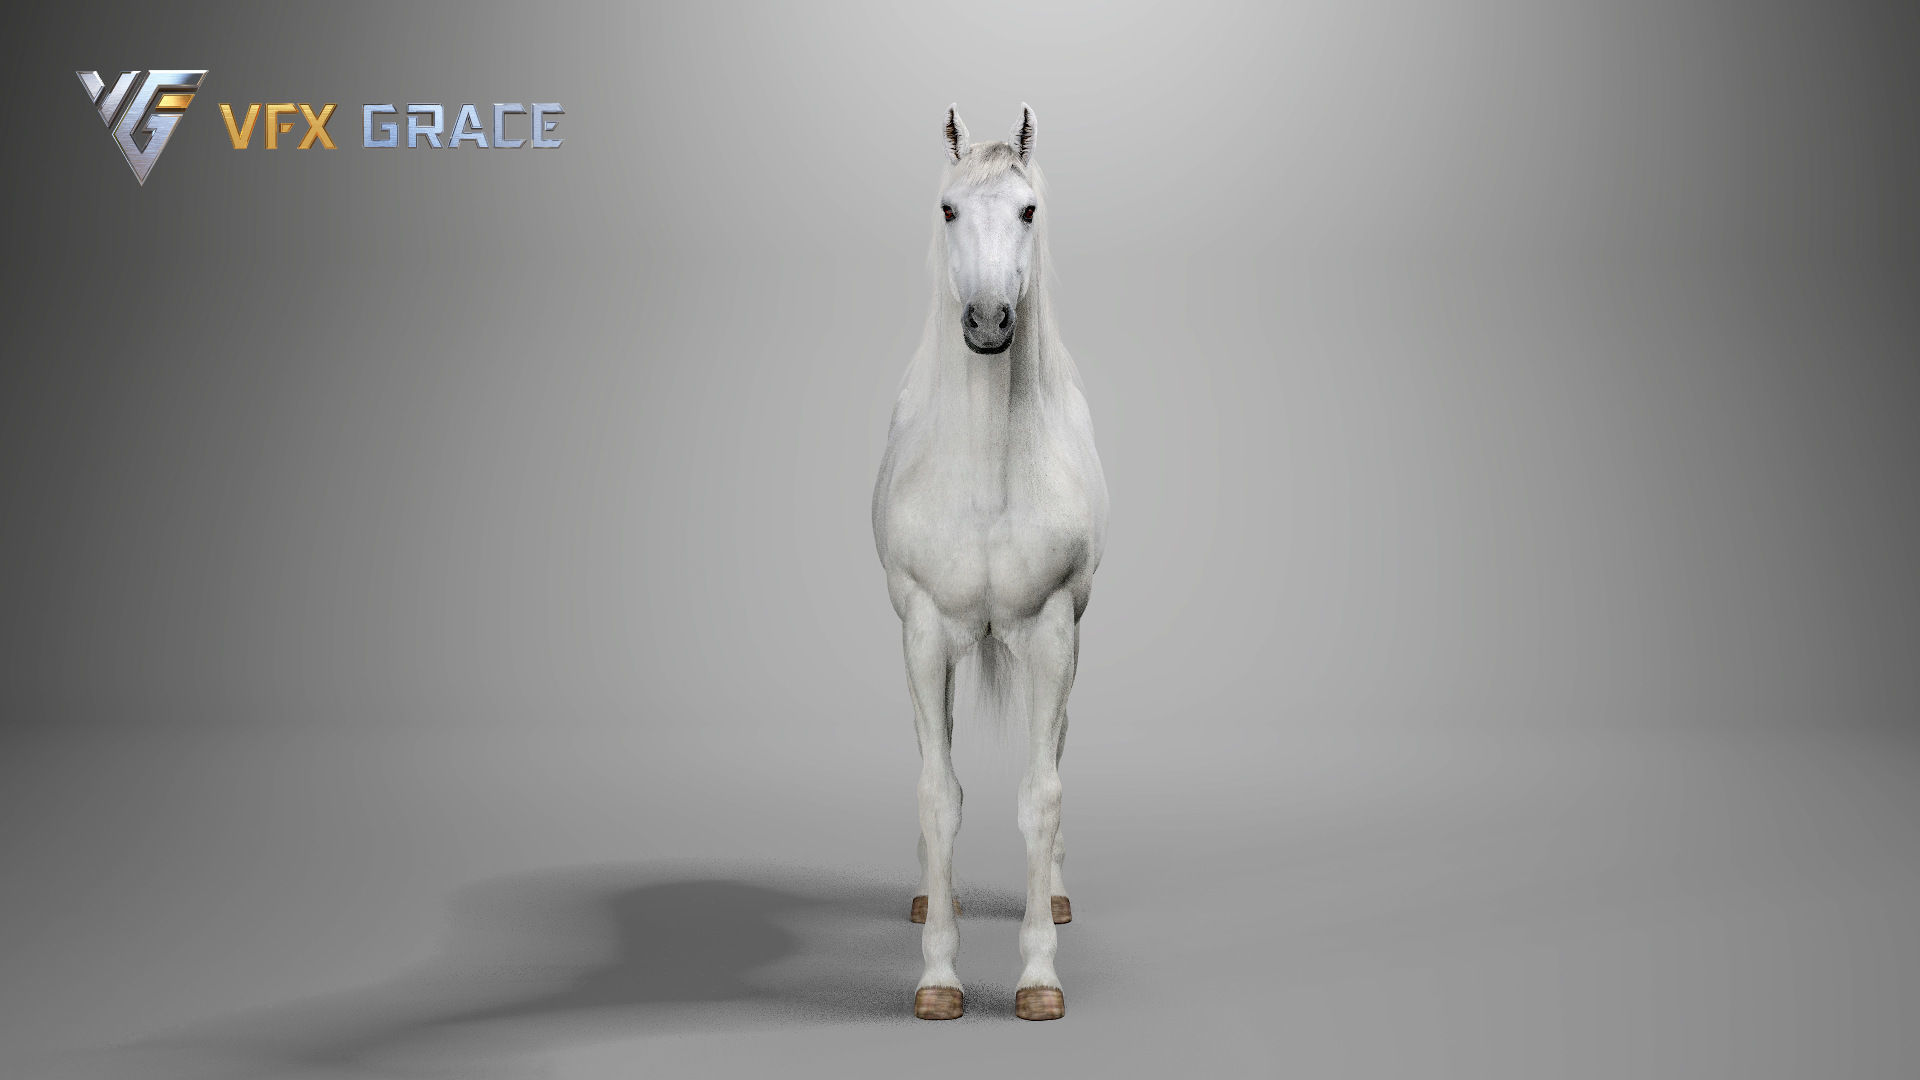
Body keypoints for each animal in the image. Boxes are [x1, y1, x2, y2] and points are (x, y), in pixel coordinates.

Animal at [871, 104, 1109, 1022]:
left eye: (1028, 210)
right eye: (947, 208)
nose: (986, 322)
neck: (987, 478)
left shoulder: (1051, 632)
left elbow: (1039, 795)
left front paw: (1039, 976)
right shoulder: (926, 634)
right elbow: (941, 796)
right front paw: (939, 975)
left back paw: (1059, 897)